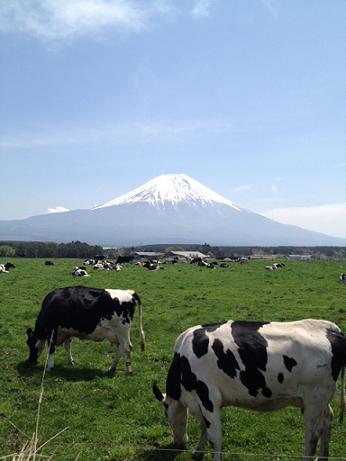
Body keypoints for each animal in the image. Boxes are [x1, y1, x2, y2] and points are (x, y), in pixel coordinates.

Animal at [153, 318, 344, 460]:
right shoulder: (201, 403)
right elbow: (204, 427)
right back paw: (323, 457)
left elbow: (215, 436)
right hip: (321, 399)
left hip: (314, 398)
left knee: (312, 435)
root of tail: (331, 329)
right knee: (328, 420)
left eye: (166, 414)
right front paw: (198, 452)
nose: (179, 443)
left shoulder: (207, 396)